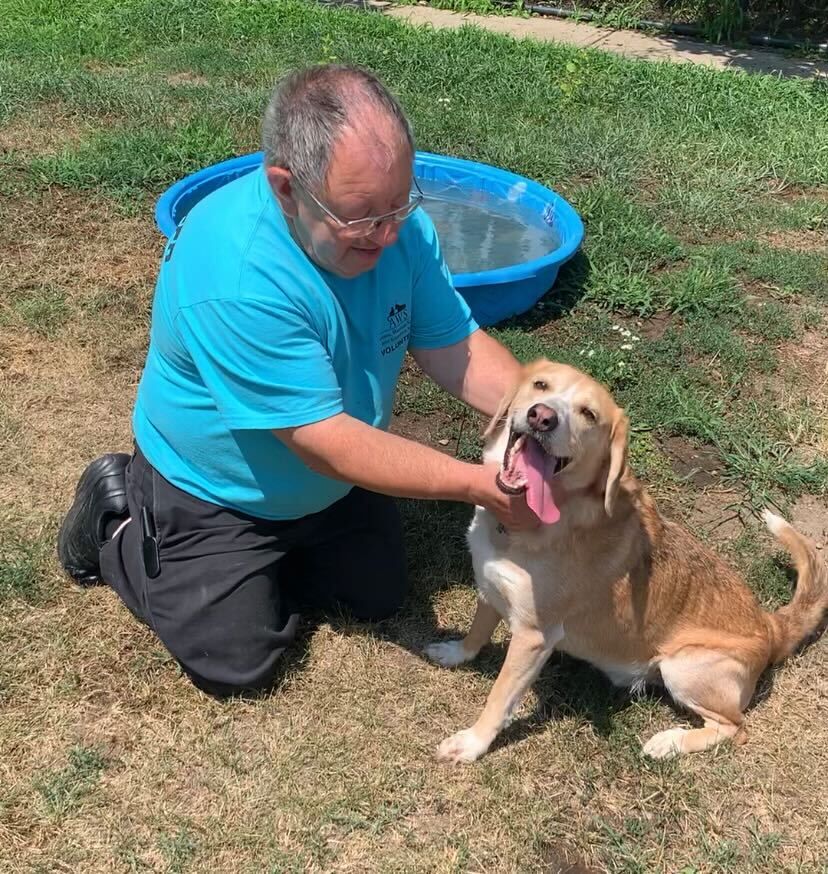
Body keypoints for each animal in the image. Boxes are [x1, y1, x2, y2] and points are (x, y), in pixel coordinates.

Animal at [424, 358, 824, 760]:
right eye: (540, 385)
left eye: (588, 414)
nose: (542, 417)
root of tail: (771, 627)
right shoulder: (489, 588)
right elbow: (477, 631)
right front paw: (456, 653)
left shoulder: (533, 636)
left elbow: (499, 698)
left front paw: (472, 743)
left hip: (683, 667)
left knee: (735, 728)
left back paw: (670, 742)